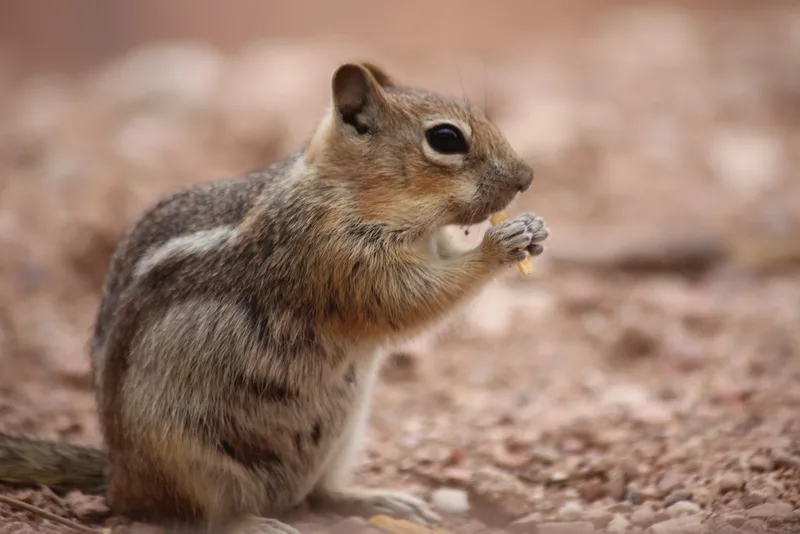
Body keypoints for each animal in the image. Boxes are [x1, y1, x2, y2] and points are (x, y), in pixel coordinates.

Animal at [0, 62, 549, 534]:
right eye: (445, 138)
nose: (526, 177)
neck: (345, 189)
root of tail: (118, 478)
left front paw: (534, 230)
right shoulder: (333, 257)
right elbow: (408, 301)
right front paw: (498, 246)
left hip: (345, 435)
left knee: (320, 493)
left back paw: (377, 499)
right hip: (193, 462)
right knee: (205, 517)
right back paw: (254, 523)